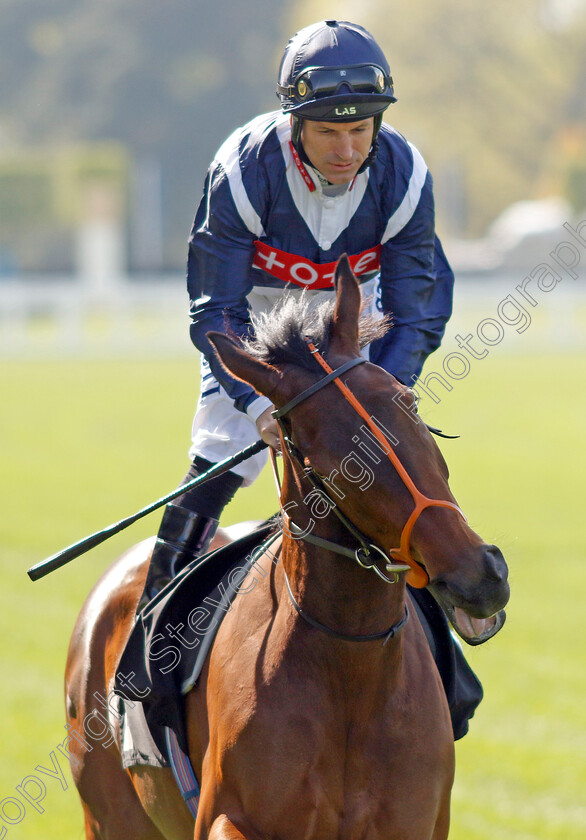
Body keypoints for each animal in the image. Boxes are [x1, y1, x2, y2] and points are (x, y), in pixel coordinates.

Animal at [65, 258, 506, 840]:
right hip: (109, 815)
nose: (478, 575)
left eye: (407, 402)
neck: (353, 670)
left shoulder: (417, 821)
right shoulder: (226, 815)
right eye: (324, 454)